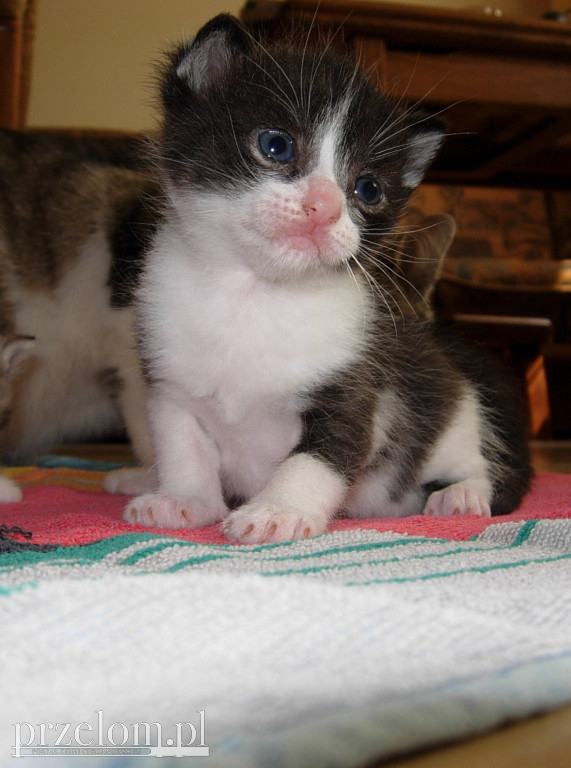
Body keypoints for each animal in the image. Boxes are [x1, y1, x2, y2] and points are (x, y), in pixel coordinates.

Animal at [119, 15, 532, 544]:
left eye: (368, 189)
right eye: (276, 145)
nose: (326, 206)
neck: (256, 292)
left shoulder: (355, 387)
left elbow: (320, 457)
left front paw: (279, 509)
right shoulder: (170, 384)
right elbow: (183, 445)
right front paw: (185, 500)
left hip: (452, 408)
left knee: (472, 457)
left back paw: (462, 495)